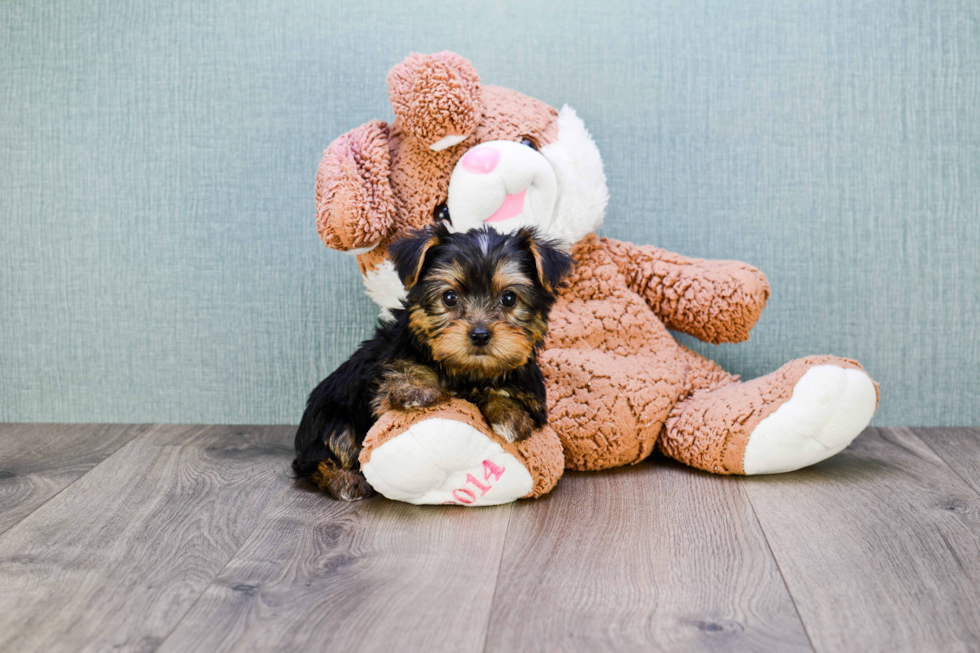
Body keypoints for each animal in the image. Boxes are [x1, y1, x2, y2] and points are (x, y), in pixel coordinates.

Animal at [290, 223, 576, 500]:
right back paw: (343, 481)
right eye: (449, 297)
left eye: (509, 298)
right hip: (332, 418)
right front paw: (416, 390)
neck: (467, 370)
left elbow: (495, 394)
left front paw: (509, 414)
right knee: (320, 456)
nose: (480, 335)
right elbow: (403, 377)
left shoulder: (532, 397)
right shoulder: (386, 376)